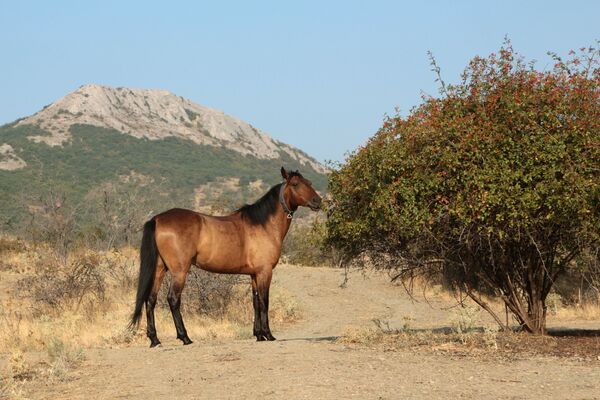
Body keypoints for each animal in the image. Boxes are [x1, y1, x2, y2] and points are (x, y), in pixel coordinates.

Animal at [129, 167, 322, 346]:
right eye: (295, 184)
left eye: (309, 182)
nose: (318, 201)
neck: (263, 225)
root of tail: (157, 219)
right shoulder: (265, 272)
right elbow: (264, 301)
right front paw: (268, 334)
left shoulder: (254, 274)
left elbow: (255, 301)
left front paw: (259, 335)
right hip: (179, 271)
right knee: (173, 299)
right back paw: (185, 337)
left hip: (160, 269)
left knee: (150, 299)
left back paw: (155, 339)